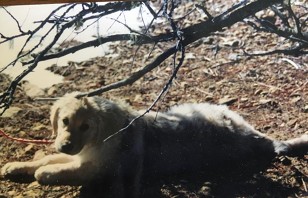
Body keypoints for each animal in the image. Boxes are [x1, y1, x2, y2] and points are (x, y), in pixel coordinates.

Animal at [1, 92, 306, 196]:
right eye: (64, 121)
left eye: (86, 127)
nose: (64, 146)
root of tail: (254, 138)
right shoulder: (82, 155)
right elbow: (44, 159)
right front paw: (15, 166)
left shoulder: (96, 168)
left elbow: (53, 170)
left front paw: (43, 173)